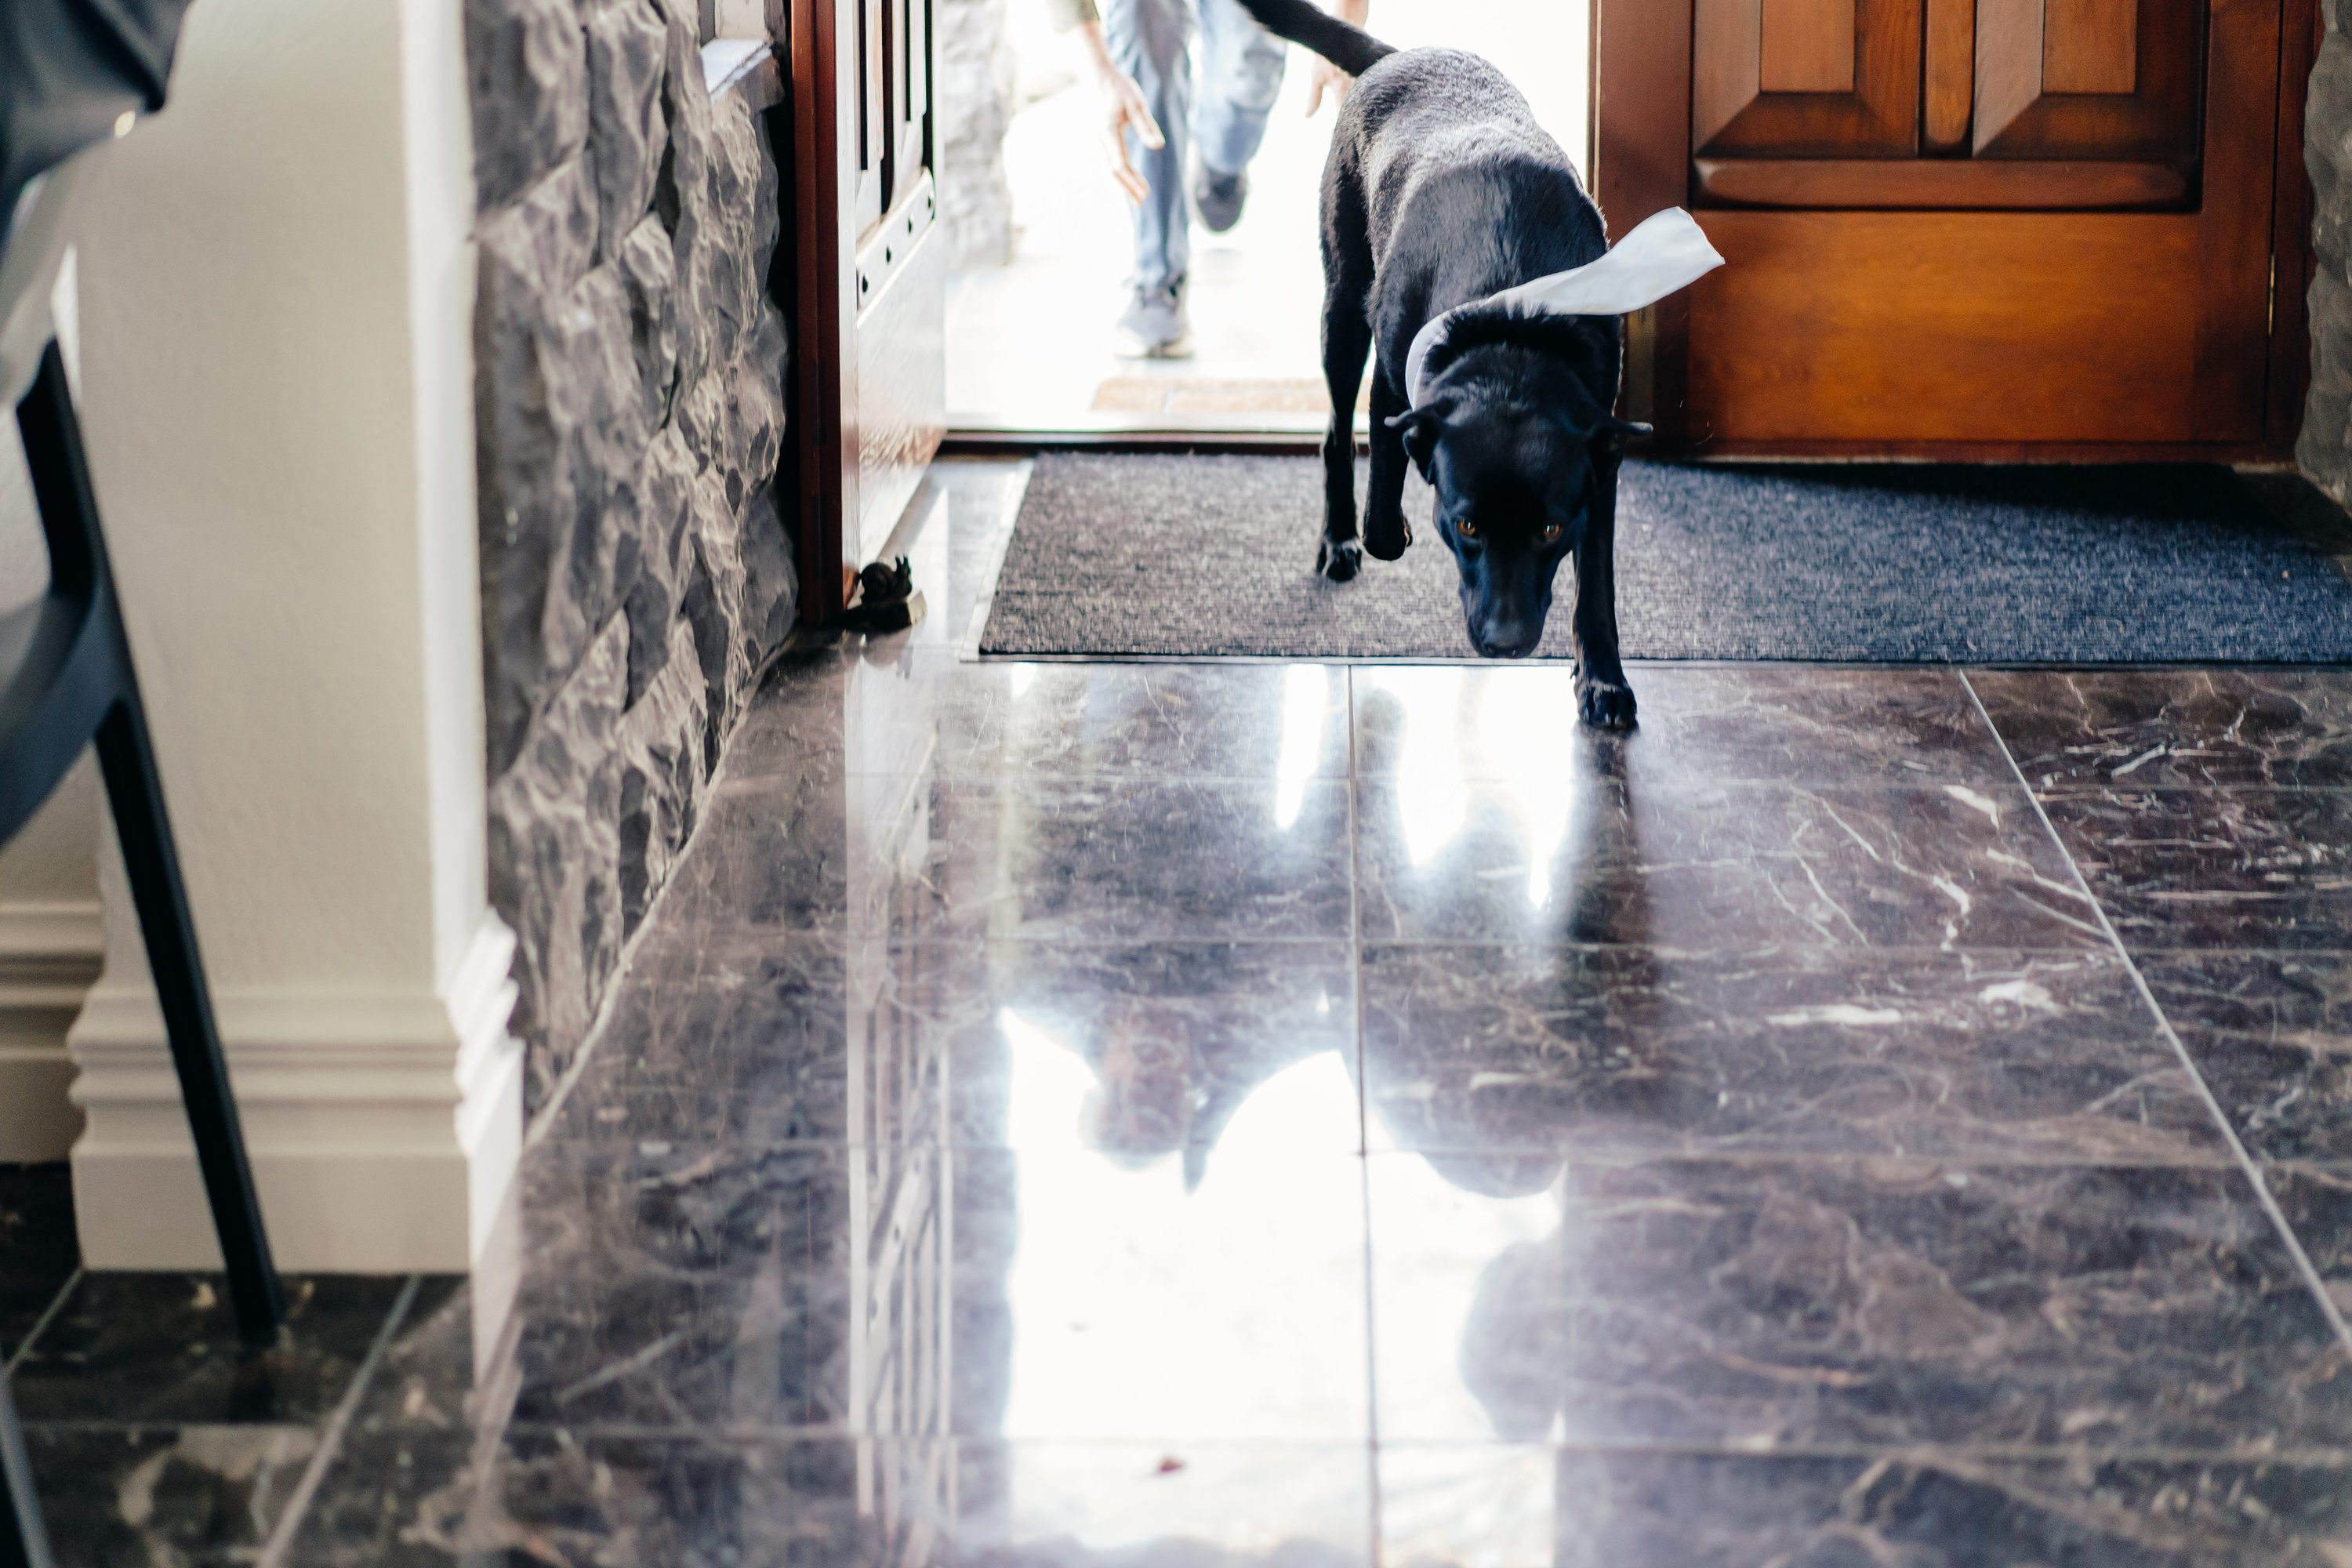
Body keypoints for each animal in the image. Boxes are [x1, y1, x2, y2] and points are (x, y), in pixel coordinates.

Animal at [1232, 0, 1656, 724]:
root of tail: (1398, 55)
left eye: (1550, 527)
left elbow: (1596, 585)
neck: (1511, 322)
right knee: (1336, 434)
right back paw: (1338, 538)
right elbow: (1384, 504)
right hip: (1343, 307)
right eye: (1466, 525)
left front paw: (1601, 679)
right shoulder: (1394, 387)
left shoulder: (1597, 458)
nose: (1505, 643)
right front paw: (1388, 528)